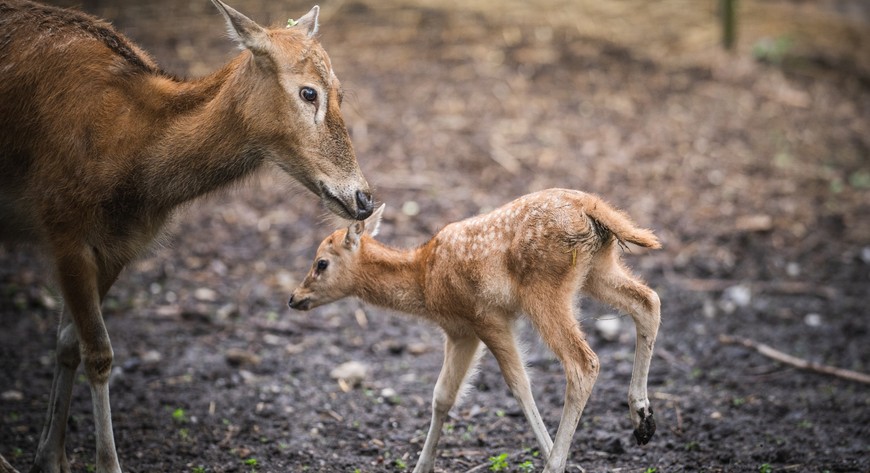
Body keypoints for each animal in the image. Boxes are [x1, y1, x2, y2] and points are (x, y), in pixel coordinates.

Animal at [0, 0, 374, 472]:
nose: (364, 199)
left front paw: (49, 458)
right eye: (309, 93)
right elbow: (99, 353)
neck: (127, 154)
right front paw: (104, 462)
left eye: (341, 92)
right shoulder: (62, 226)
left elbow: (68, 342)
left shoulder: (118, 246)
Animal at [290, 189, 664, 472]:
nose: (295, 298)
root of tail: (592, 208)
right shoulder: (461, 332)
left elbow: (519, 385)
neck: (424, 279)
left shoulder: (486, 318)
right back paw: (642, 419)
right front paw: (421, 466)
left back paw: (555, 463)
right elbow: (442, 396)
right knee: (648, 301)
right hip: (599, 270)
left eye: (321, 263)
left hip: (545, 290)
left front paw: (554, 456)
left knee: (583, 362)